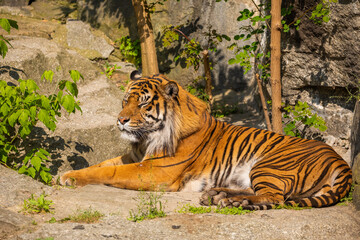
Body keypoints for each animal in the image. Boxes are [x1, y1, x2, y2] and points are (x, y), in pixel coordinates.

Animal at [60, 71, 352, 210]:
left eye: (142, 104)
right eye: (125, 101)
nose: (120, 120)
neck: (146, 140)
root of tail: (342, 163)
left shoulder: (155, 170)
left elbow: (109, 172)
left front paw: (69, 178)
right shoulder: (133, 158)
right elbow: (99, 165)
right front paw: (65, 174)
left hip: (269, 165)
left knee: (275, 197)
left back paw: (229, 201)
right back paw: (218, 196)